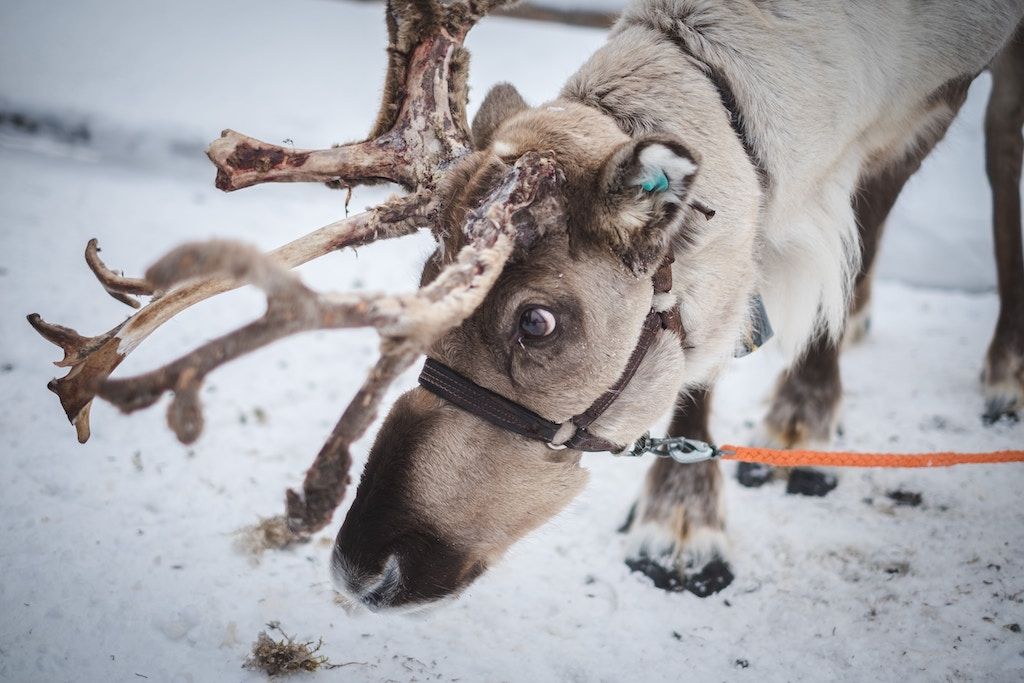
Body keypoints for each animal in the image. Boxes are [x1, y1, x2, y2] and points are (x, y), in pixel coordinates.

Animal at [29, 0, 1024, 613]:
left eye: (539, 321)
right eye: (427, 268)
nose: (358, 568)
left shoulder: (943, 81)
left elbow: (885, 198)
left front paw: (790, 431)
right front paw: (684, 511)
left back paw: (995, 369)